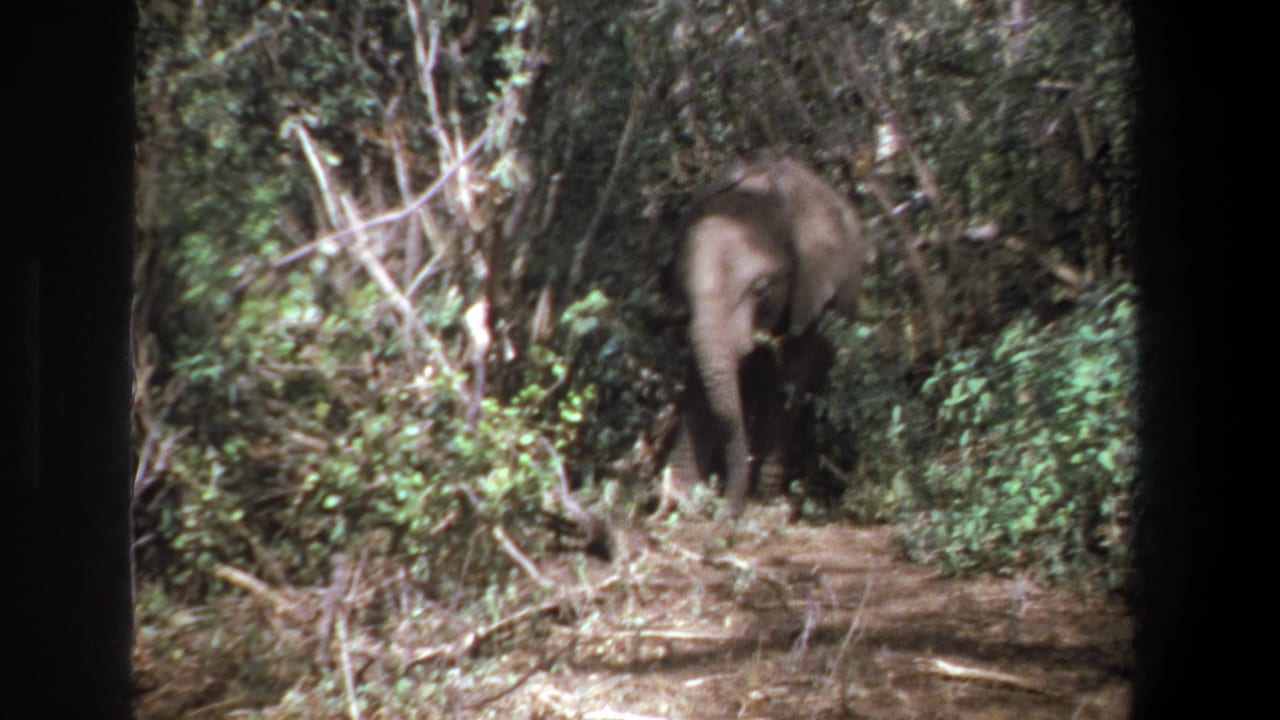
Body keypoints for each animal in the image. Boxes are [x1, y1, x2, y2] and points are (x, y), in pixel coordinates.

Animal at [665, 156, 865, 519]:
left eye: (762, 290)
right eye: (682, 291)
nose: (726, 513)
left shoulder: (812, 294)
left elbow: (785, 387)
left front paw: (766, 503)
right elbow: (699, 386)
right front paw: (679, 499)